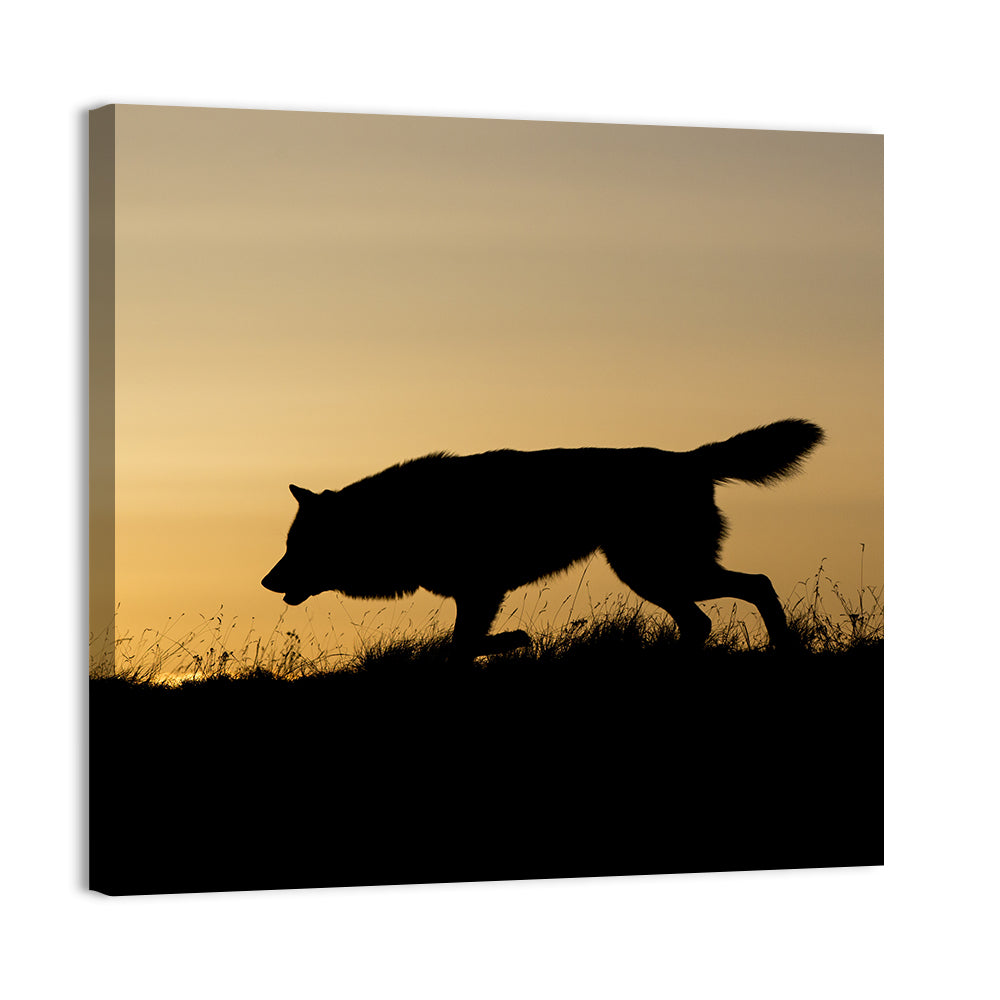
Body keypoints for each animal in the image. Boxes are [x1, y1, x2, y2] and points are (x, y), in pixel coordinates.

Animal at [262, 419, 824, 654]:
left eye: (296, 547)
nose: (267, 582)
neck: (397, 519)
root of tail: (690, 458)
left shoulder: (480, 591)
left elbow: (461, 646)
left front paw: (512, 641)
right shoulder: (477, 594)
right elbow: (463, 645)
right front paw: (511, 641)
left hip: (657, 571)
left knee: (755, 585)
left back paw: (783, 650)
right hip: (653, 576)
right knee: (706, 618)